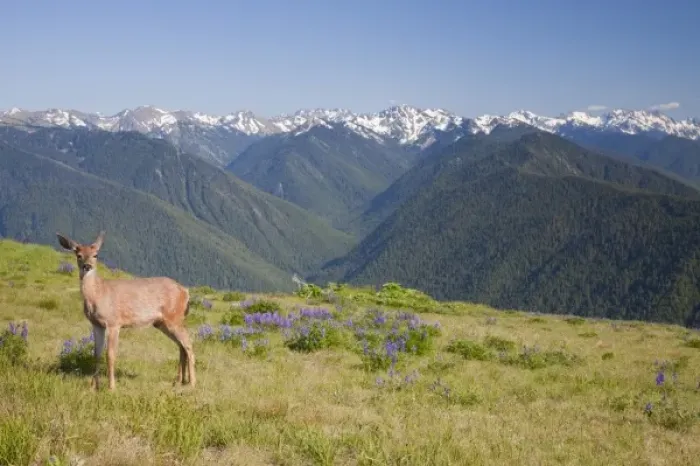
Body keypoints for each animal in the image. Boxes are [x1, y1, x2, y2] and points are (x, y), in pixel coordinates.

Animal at [56, 230, 196, 391]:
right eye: (78, 255)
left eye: (95, 255)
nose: (87, 266)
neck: (99, 294)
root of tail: (185, 291)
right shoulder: (96, 324)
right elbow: (96, 353)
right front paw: (93, 386)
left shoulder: (114, 322)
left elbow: (110, 354)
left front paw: (111, 387)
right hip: (162, 323)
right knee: (181, 346)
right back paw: (179, 381)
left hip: (174, 317)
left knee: (188, 344)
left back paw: (192, 383)